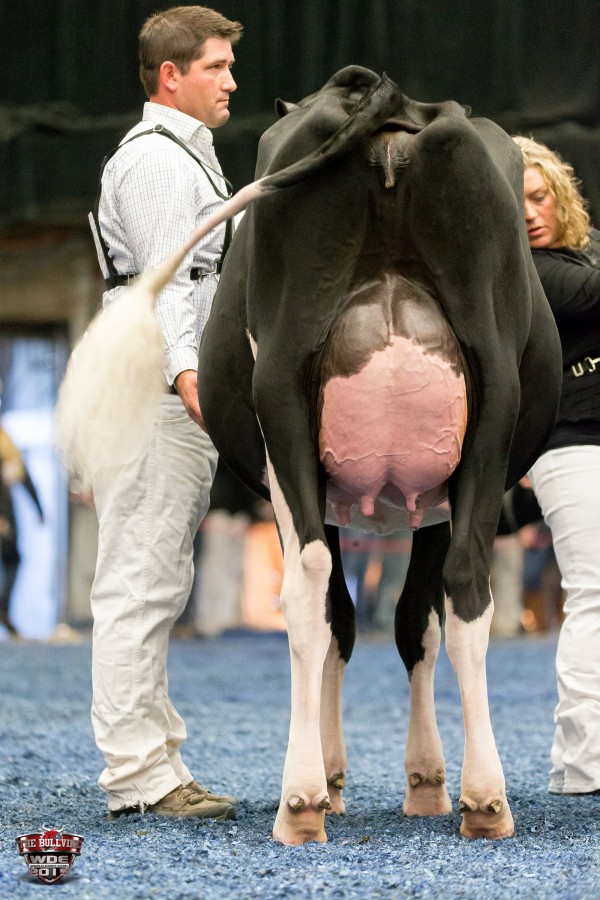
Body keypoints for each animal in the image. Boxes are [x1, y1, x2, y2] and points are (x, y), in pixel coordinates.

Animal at [56, 65, 561, 847]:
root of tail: (386, 101)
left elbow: (383, 620)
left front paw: (387, 779)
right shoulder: (425, 500)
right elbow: (396, 620)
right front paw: (398, 779)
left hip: (292, 405)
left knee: (317, 588)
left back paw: (306, 802)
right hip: (479, 409)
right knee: (445, 582)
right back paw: (477, 799)